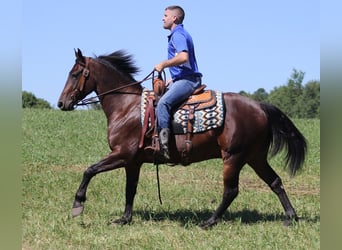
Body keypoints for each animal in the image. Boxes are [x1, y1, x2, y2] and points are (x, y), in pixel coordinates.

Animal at [57, 48, 306, 229]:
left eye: (75, 74)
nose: (61, 103)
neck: (126, 107)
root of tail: (260, 107)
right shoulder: (133, 161)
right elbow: (130, 189)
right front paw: (125, 219)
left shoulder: (121, 154)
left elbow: (89, 170)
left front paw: (77, 205)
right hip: (255, 157)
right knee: (275, 182)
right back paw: (290, 217)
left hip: (233, 157)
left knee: (231, 191)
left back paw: (208, 222)